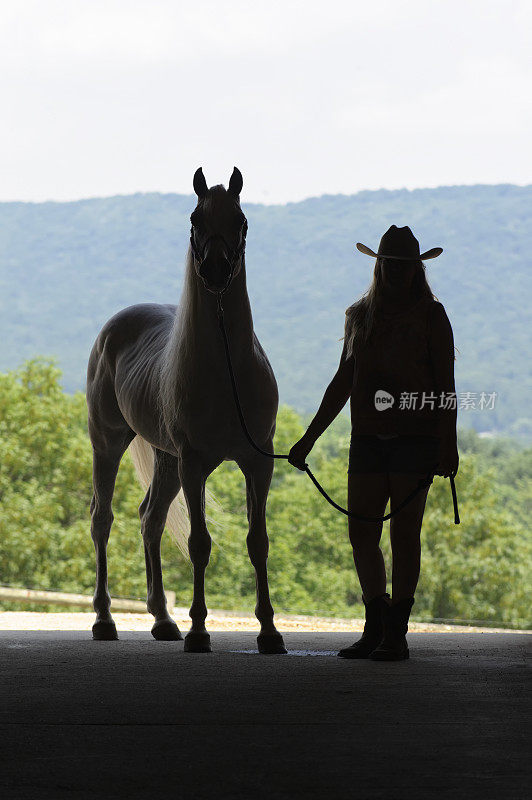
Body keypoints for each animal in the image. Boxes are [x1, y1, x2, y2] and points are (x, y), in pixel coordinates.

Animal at [87, 166, 286, 652]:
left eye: (240, 220)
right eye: (195, 219)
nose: (215, 271)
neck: (225, 371)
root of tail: (113, 330)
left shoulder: (258, 462)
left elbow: (258, 542)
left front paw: (269, 631)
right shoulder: (195, 462)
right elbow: (199, 543)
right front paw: (199, 631)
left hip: (165, 460)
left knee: (151, 519)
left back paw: (162, 620)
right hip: (109, 444)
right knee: (103, 519)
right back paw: (104, 620)